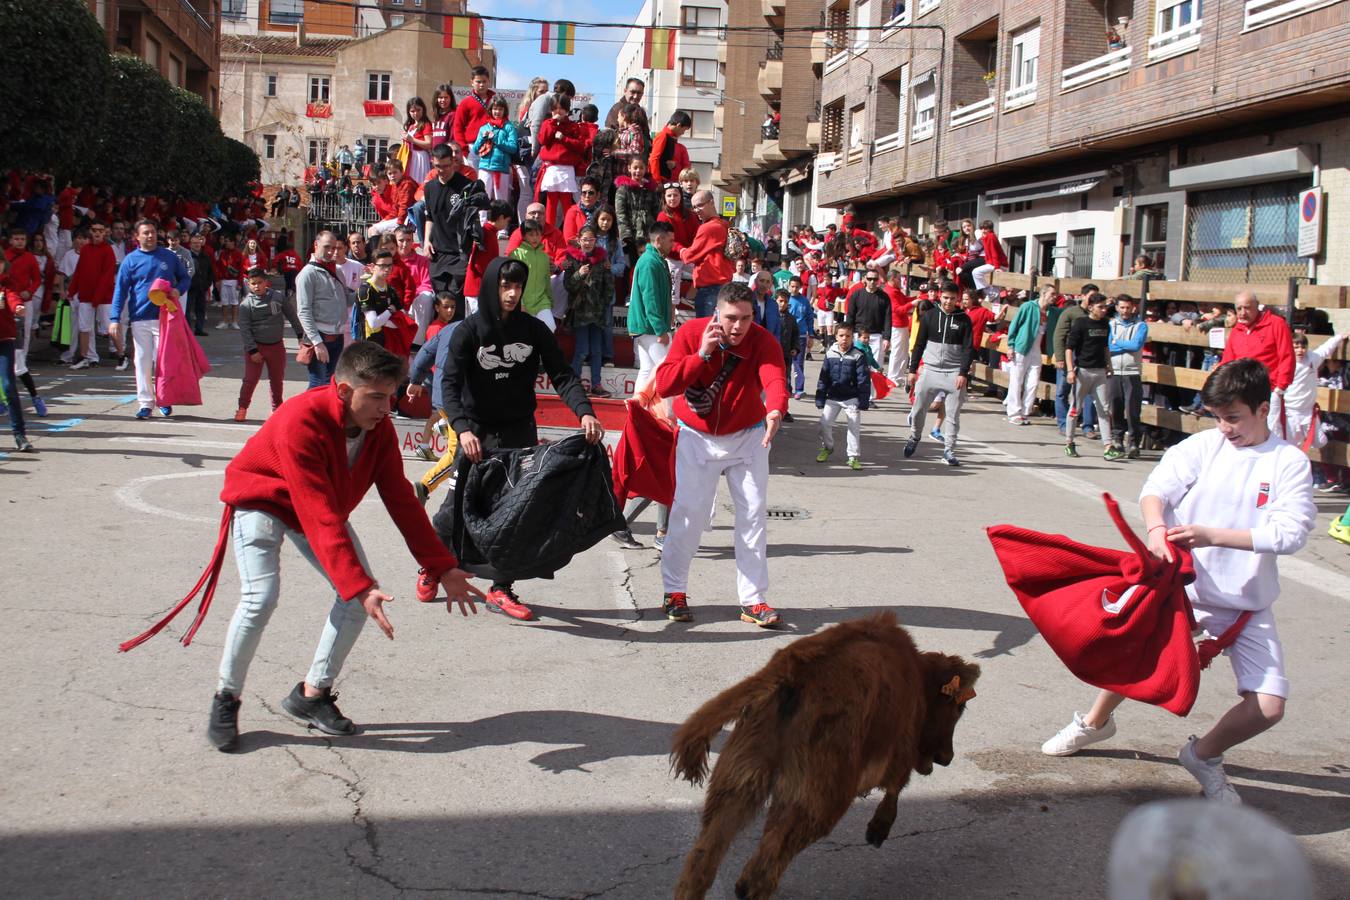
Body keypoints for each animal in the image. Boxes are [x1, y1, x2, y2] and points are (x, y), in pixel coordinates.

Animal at [666, 612, 977, 900]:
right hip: (816, 804)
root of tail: (791, 673)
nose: (946, 757)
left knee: (702, 864)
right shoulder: (898, 751)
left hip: (738, 786)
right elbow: (896, 786)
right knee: (759, 873)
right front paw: (877, 831)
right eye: (957, 708)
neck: (915, 673)